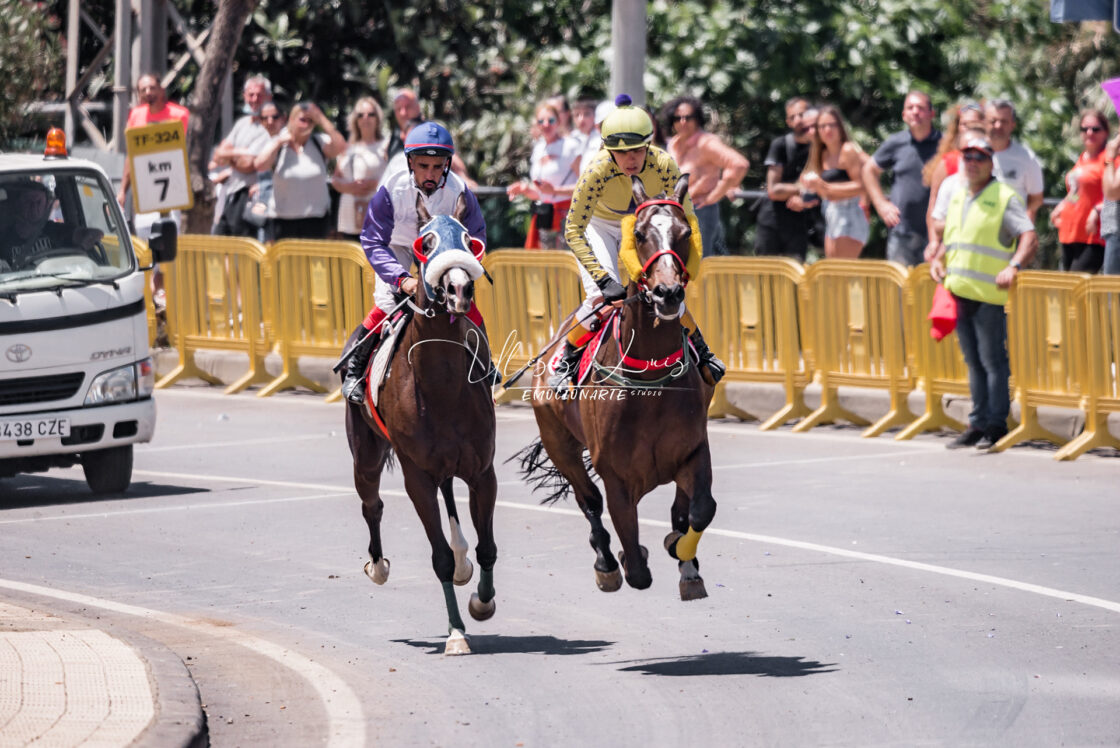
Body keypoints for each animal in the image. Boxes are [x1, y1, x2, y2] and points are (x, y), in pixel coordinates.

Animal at [342, 194, 497, 653]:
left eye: (469, 240)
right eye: (425, 243)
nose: (460, 289)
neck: (442, 387)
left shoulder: (482, 471)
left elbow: (487, 547)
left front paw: (481, 602)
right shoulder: (417, 476)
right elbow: (439, 556)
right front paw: (456, 633)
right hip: (366, 455)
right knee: (371, 504)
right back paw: (378, 566)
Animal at [517, 175, 716, 600]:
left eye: (685, 232)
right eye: (639, 234)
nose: (667, 293)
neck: (650, 381)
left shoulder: (693, 450)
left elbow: (698, 509)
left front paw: (684, 557)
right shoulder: (616, 475)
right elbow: (637, 566)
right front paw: (628, 557)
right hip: (559, 441)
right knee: (588, 502)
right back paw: (606, 563)